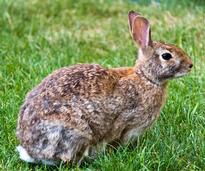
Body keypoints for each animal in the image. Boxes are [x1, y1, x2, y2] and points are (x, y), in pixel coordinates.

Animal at [15, 11, 192, 166]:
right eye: (166, 56)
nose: (190, 65)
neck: (146, 78)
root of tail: (31, 151)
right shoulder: (128, 123)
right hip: (76, 132)